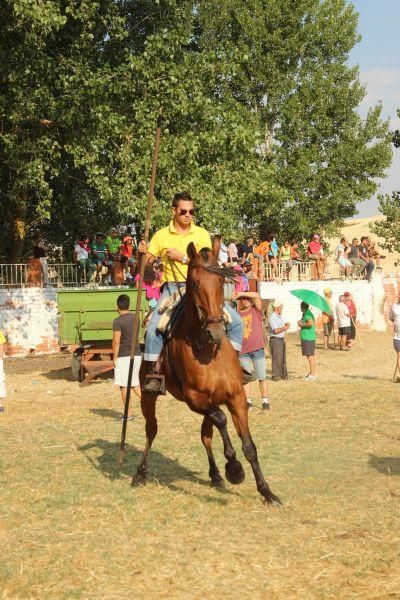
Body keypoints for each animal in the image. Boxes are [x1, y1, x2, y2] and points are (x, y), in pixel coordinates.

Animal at [134, 241, 282, 504]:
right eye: (194, 284)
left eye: (221, 281)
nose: (215, 330)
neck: (207, 350)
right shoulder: (195, 399)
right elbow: (222, 420)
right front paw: (234, 468)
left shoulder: (236, 398)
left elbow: (249, 446)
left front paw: (266, 492)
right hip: (148, 394)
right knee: (152, 429)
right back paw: (140, 472)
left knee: (206, 434)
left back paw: (215, 474)